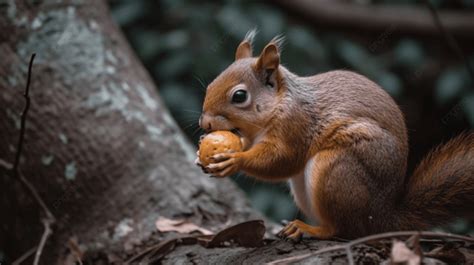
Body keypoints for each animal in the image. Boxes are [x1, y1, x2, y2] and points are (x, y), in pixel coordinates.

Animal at [195, 29, 474, 238]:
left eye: (239, 96)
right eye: (210, 86)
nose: (205, 123)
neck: (277, 106)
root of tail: (383, 217)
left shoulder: (296, 125)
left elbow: (282, 160)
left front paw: (234, 160)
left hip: (337, 170)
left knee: (343, 229)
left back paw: (310, 230)